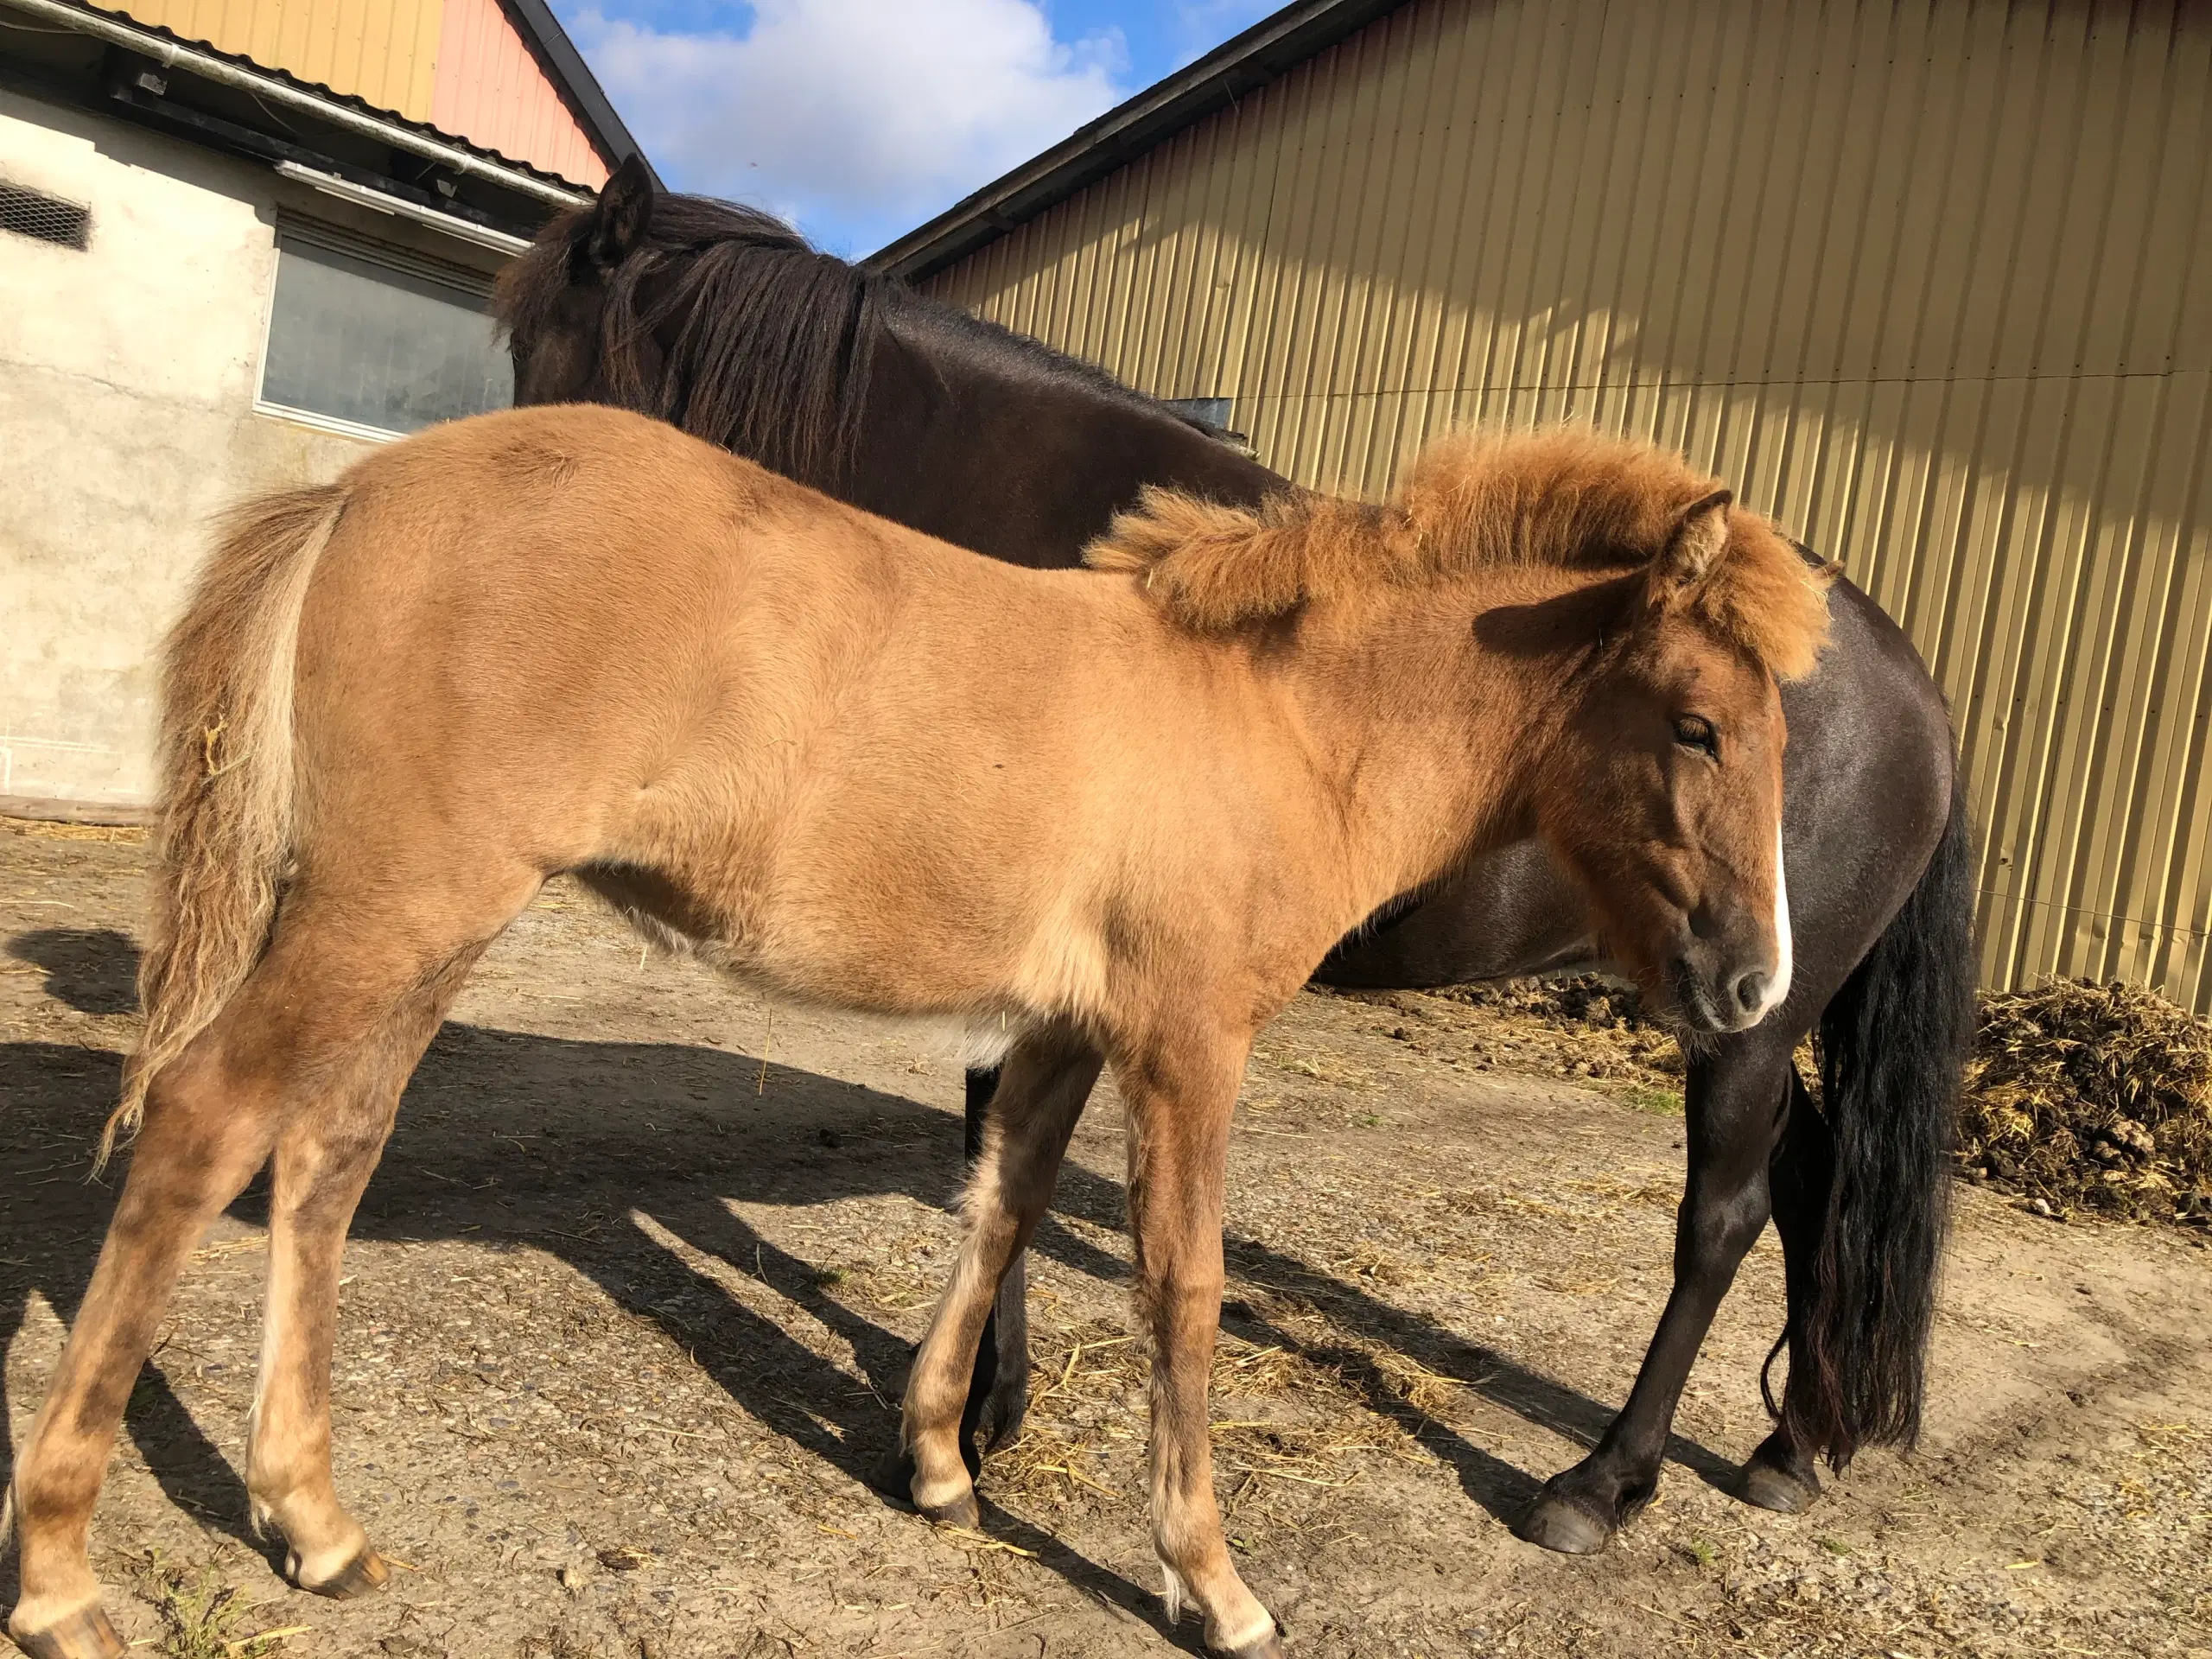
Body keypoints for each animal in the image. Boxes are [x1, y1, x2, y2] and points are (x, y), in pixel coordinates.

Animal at [9, 407, 1822, 1659]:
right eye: (1696, 725)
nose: (1756, 985)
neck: (1273, 720)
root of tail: (363, 490)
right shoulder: (1190, 1042)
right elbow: (1182, 1288)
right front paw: (1213, 1582)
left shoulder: (1069, 1027)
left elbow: (1001, 1204)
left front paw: (943, 1466)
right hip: (391, 905)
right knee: (204, 1123)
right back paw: (62, 1575)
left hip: (425, 926)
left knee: (324, 1160)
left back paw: (310, 1521)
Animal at [488, 156, 1973, 1557]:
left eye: (538, 359)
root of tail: (1916, 689)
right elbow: (1002, 1162)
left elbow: (996, 1149)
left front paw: (979, 1418)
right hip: (1764, 1006)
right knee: (1814, 1188)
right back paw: (1788, 1453)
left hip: (1746, 1011)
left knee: (1721, 1217)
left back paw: (1600, 1485)